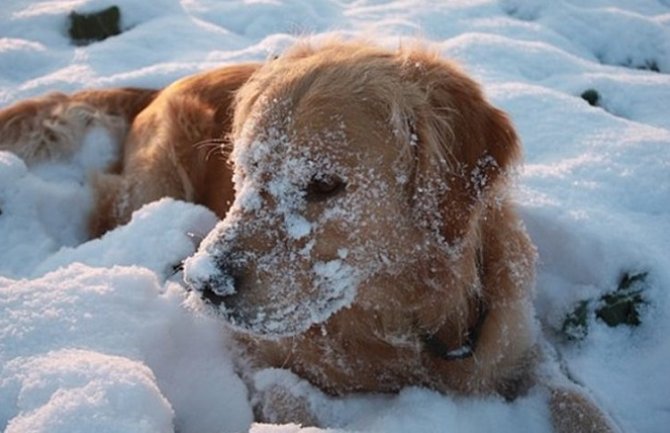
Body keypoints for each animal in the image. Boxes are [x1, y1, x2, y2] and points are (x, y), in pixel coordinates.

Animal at [0, 40, 620, 432]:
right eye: (244, 169)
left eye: (324, 184)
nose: (206, 285)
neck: (401, 323)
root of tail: (161, 84)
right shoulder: (245, 349)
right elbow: (290, 398)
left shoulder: (519, 344)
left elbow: (579, 401)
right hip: (153, 184)